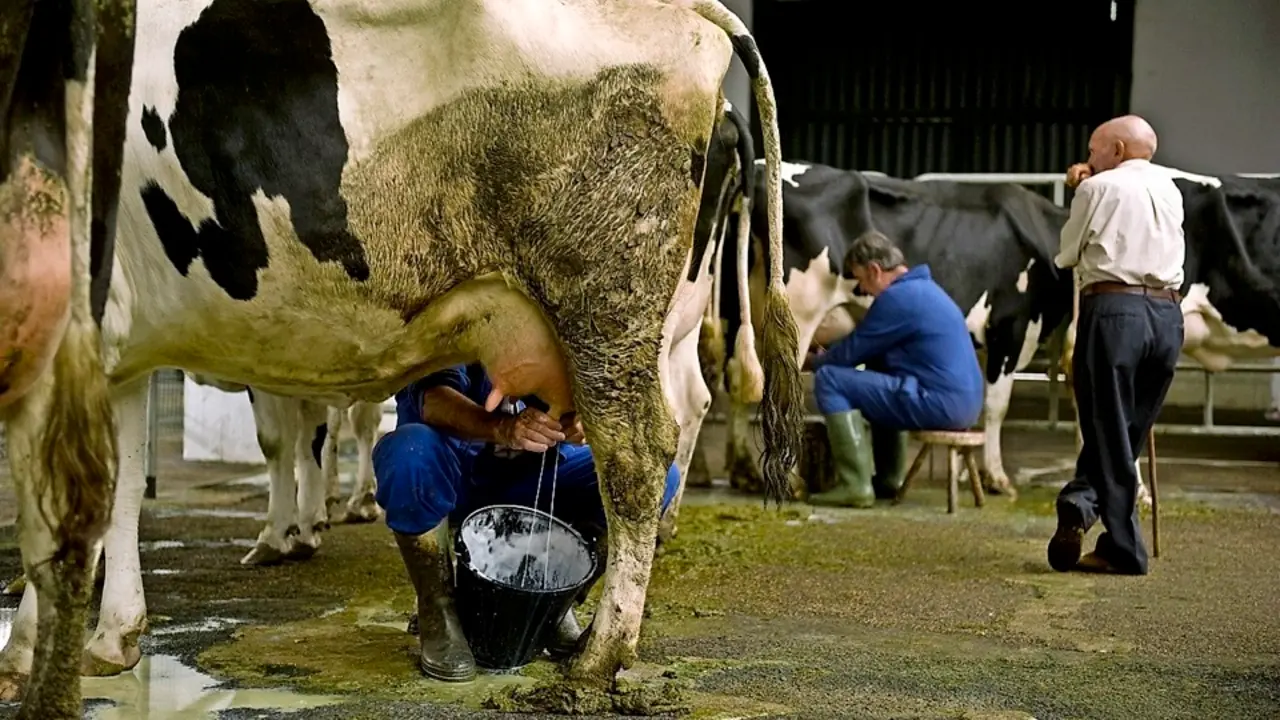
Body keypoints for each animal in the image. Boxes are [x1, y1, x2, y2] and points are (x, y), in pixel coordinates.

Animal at [0, 0, 804, 710]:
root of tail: (690, 12)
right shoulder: (116, 345)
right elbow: (116, 493)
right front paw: (112, 637)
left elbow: (56, 514)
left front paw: (26, 652)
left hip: (608, 305)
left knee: (639, 456)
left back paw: (600, 657)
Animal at [691, 160, 1082, 501]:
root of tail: (758, 170)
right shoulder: (1011, 328)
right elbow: (996, 407)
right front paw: (998, 478)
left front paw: (960, 468)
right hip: (795, 316)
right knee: (775, 389)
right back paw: (789, 482)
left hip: (734, 310)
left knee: (734, 380)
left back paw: (742, 473)